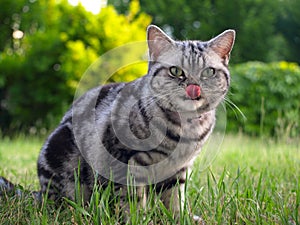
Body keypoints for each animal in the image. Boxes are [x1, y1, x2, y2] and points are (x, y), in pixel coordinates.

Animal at [0, 25, 236, 223]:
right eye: (176, 71)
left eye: (208, 72)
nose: (194, 87)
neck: (185, 129)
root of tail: (39, 193)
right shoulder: (124, 157)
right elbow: (130, 198)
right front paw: (138, 219)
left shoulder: (178, 170)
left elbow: (175, 200)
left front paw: (180, 218)